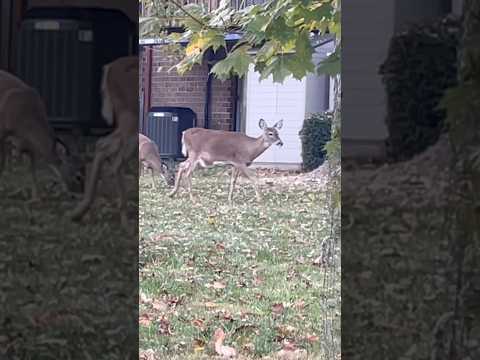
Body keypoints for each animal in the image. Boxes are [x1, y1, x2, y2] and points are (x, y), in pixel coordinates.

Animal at [0, 70, 84, 200]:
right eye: (78, 176)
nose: (81, 195)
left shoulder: (29, 145)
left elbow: (31, 169)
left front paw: (36, 196)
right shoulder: (3, 131)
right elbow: (4, 164)